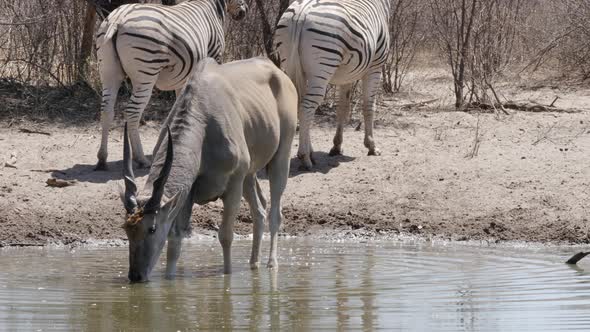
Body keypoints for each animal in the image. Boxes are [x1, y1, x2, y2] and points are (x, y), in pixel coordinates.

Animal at [93, 0, 250, 170]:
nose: (244, 12)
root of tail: (119, 17)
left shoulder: (183, 78)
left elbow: (180, 105)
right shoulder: (214, 56)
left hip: (109, 71)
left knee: (106, 110)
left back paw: (102, 158)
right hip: (146, 72)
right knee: (132, 112)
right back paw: (140, 159)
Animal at [119, 57, 298, 282]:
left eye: (152, 228)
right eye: (126, 228)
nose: (135, 275)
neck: (203, 125)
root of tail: (277, 71)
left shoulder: (233, 185)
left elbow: (226, 235)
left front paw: (227, 275)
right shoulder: (187, 193)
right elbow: (175, 241)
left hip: (280, 157)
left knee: (274, 212)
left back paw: (271, 263)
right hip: (249, 174)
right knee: (259, 209)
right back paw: (253, 263)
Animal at [274, 0, 394, 170]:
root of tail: (302, 12)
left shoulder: (347, 76)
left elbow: (342, 108)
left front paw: (337, 146)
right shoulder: (375, 67)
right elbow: (369, 106)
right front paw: (371, 146)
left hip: (290, 65)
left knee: (297, 106)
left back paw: (309, 152)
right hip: (322, 68)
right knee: (306, 108)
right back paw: (305, 157)